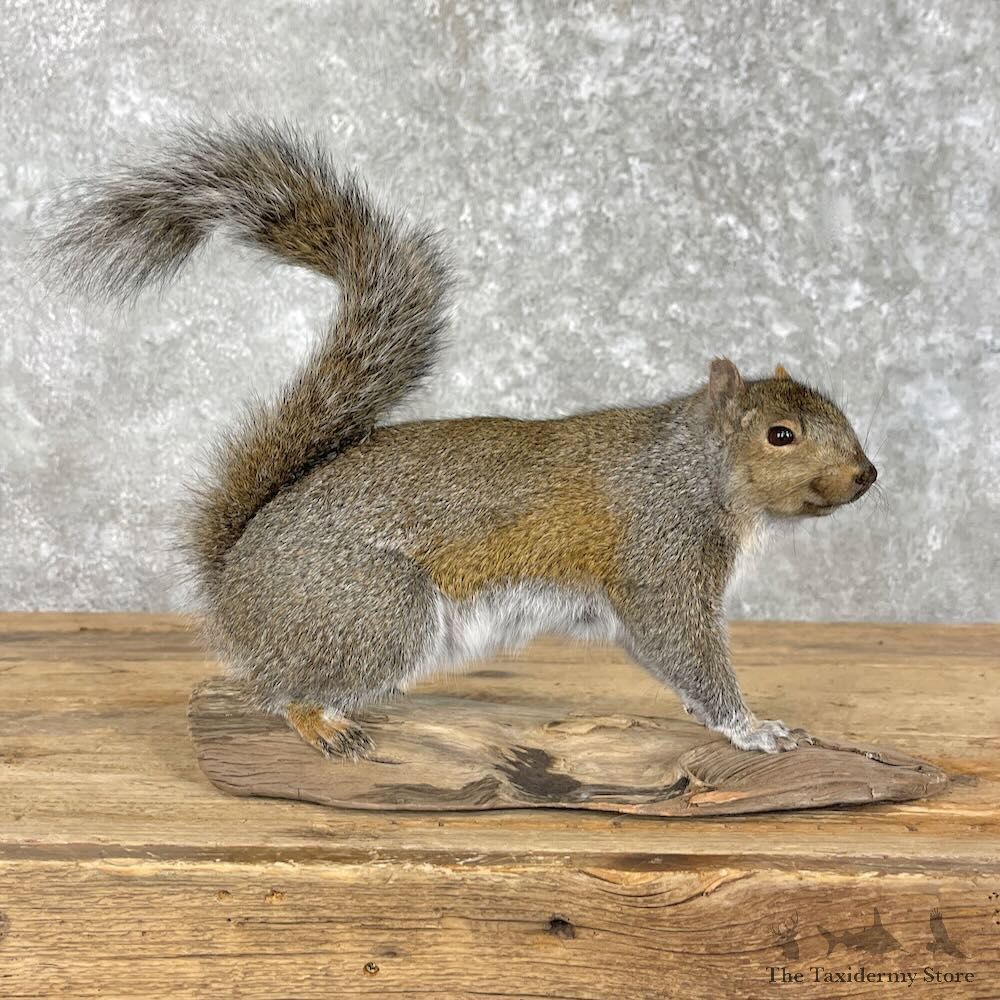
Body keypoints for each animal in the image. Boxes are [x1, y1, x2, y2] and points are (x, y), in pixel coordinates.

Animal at [45, 121, 878, 757]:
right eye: (780, 434)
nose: (867, 476)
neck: (692, 467)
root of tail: (231, 585)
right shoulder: (660, 557)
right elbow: (687, 650)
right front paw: (753, 728)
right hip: (377, 609)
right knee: (280, 690)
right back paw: (322, 722)